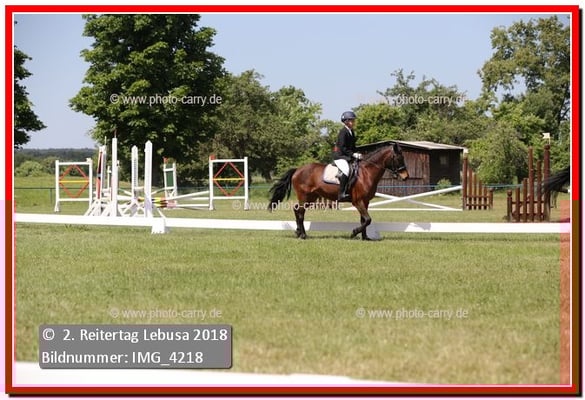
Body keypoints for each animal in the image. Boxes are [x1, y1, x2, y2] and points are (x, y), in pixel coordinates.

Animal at [268, 143, 409, 240]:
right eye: (398, 158)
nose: (405, 177)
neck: (366, 173)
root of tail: (298, 169)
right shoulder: (358, 201)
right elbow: (368, 219)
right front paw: (354, 232)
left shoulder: (365, 202)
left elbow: (364, 220)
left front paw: (365, 237)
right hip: (304, 196)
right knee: (301, 212)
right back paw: (303, 235)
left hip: (311, 197)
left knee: (297, 210)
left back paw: (298, 232)